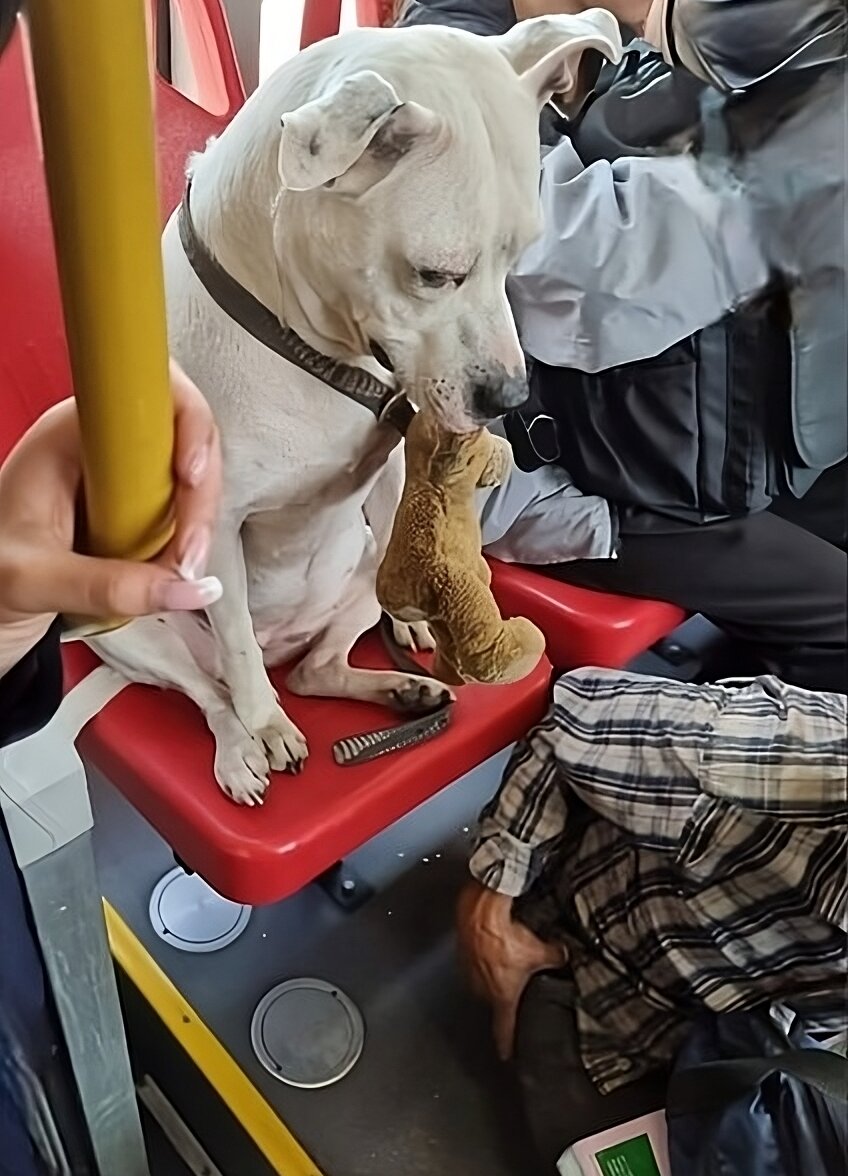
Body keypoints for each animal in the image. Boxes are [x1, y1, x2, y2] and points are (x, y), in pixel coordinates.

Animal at [91, 13, 621, 804]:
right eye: (435, 274)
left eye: (521, 257)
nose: (510, 396)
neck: (302, 344)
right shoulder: (213, 526)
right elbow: (237, 646)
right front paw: (265, 727)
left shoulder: (391, 469)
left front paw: (420, 620)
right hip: (125, 626)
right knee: (214, 688)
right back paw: (244, 747)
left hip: (355, 577)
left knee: (318, 667)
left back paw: (401, 684)